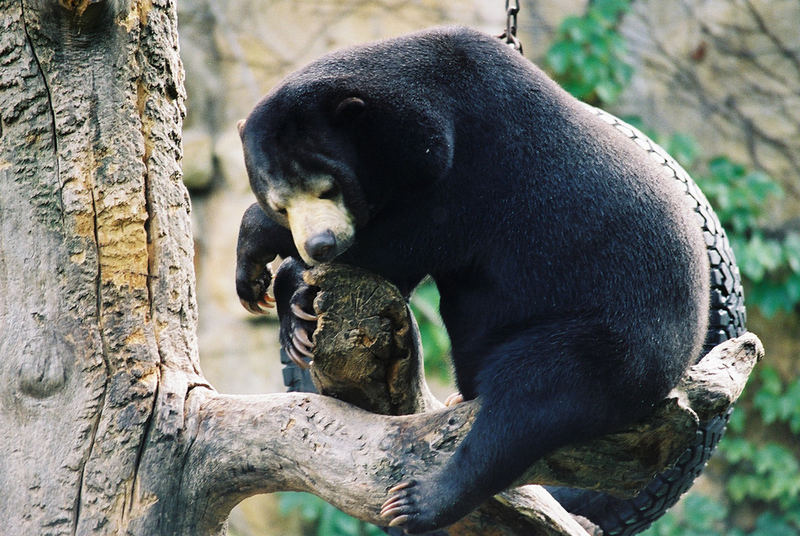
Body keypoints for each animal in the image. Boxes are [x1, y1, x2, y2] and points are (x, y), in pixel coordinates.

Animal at [234, 24, 708, 532]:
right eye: (281, 202)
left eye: (328, 188)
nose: (320, 245)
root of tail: (688, 347)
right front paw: (288, 315)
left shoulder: (469, 180)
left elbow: (399, 245)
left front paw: (272, 264)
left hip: (613, 340)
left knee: (533, 398)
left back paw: (420, 501)